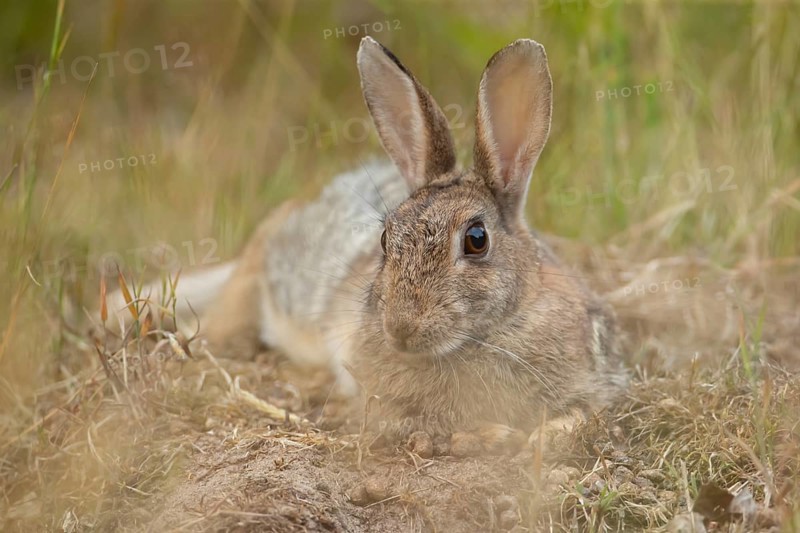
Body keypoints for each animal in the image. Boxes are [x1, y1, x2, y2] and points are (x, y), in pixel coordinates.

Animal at [103, 37, 627, 450]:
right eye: (384, 238)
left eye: (476, 239)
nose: (401, 329)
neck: (487, 335)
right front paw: (494, 436)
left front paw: (544, 436)